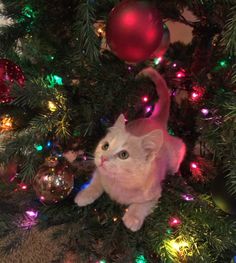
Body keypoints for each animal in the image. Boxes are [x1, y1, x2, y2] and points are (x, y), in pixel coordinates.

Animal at [65, 68, 186, 233]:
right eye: (105, 146)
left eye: (124, 155)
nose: (103, 158)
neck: (119, 182)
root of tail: (154, 121)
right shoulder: (100, 172)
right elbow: (96, 181)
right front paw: (86, 193)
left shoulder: (155, 192)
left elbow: (143, 204)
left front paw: (133, 217)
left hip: (174, 154)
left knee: (181, 148)